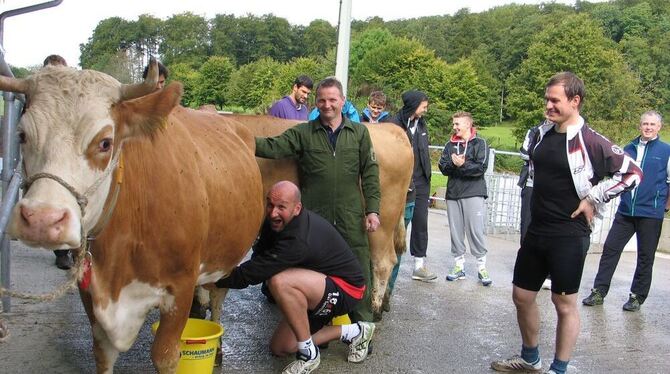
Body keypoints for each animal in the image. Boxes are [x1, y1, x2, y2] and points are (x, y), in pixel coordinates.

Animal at [2, 60, 266, 372]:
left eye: (105, 143)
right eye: (21, 136)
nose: (41, 220)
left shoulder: (180, 287)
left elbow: (166, 355)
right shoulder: (89, 290)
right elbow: (102, 353)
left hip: (227, 259)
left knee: (217, 297)